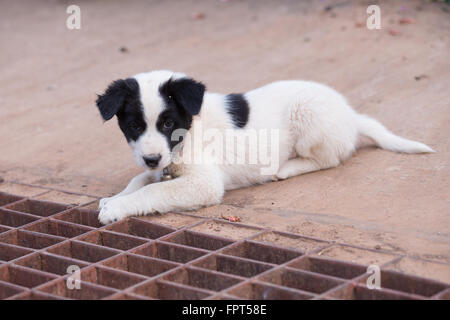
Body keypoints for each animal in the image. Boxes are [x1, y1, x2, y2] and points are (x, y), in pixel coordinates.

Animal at [94, 69, 432, 224]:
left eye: (167, 124)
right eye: (134, 126)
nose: (152, 158)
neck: (190, 131)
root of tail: (350, 115)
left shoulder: (204, 183)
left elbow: (153, 190)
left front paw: (117, 208)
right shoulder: (159, 165)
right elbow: (140, 179)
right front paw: (115, 198)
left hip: (308, 115)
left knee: (330, 158)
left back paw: (286, 168)